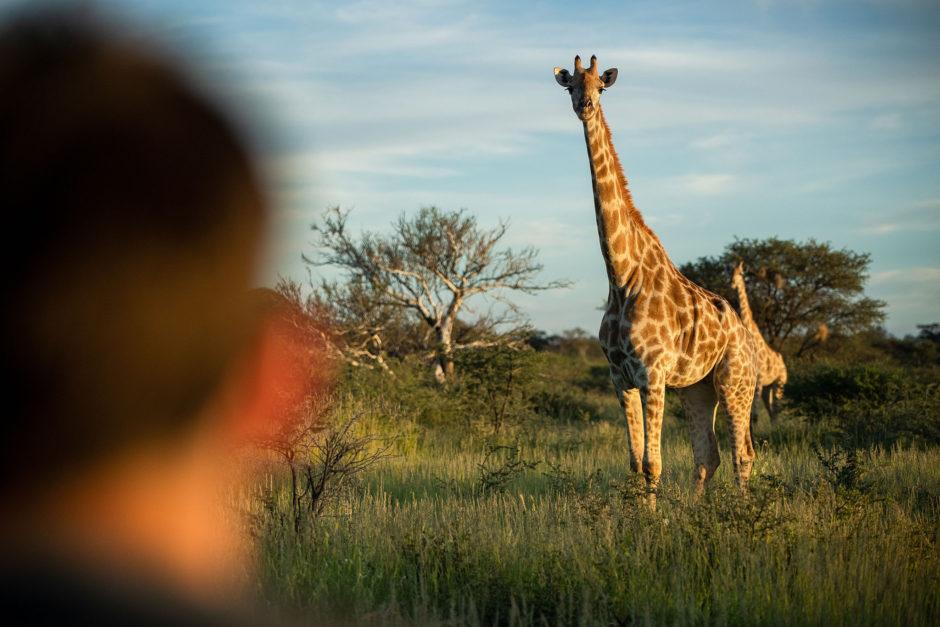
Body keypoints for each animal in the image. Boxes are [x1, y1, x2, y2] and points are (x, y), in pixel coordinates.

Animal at [553, 55, 758, 499]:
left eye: (601, 87)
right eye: (570, 86)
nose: (585, 106)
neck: (621, 277)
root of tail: (748, 336)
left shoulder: (652, 374)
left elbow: (653, 464)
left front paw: (654, 516)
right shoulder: (620, 378)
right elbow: (635, 464)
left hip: (735, 382)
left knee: (743, 454)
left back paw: (743, 510)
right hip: (697, 388)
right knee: (709, 454)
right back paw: (698, 510)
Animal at [731, 261, 787, 427]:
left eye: (741, 273)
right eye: (730, 272)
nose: (732, 283)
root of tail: (783, 363)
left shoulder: (759, 378)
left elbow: (754, 413)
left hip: (779, 384)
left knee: (777, 408)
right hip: (768, 388)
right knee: (771, 410)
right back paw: (773, 428)